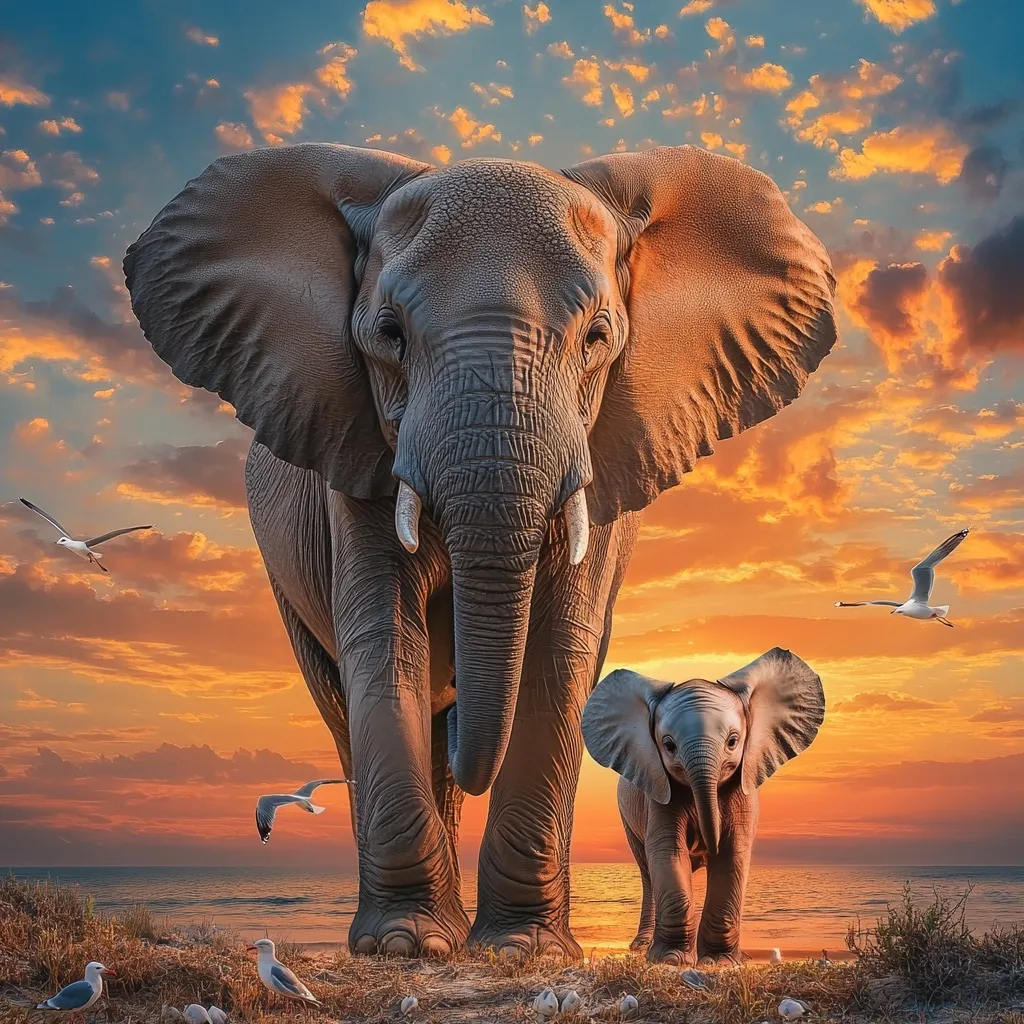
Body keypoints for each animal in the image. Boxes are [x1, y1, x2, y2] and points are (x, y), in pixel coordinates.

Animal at [581, 647, 825, 965]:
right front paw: (671, 960)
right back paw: (644, 947)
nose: (705, 842)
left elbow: (733, 854)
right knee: (648, 873)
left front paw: (720, 963)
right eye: (668, 745)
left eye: (733, 741)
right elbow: (668, 852)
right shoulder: (659, 793)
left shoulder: (741, 789)